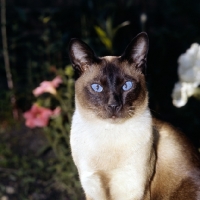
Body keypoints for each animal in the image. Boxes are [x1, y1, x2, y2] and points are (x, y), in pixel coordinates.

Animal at [68, 32, 200, 199]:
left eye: (127, 86)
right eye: (97, 87)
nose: (114, 105)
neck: (109, 135)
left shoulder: (133, 189)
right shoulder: (92, 190)